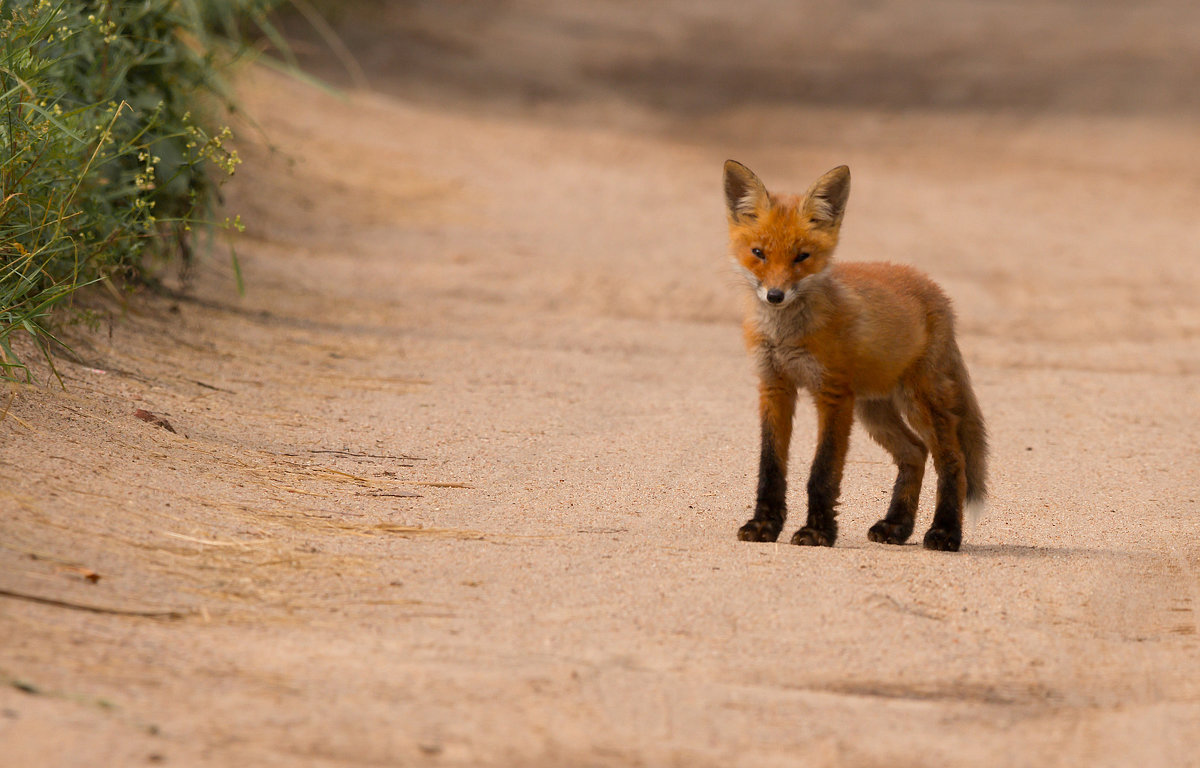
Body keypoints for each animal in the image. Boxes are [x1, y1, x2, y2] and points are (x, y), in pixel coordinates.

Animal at [720, 158, 984, 549]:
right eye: (758, 254)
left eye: (802, 256)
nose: (775, 295)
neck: (786, 336)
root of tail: (935, 291)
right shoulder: (774, 386)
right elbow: (770, 468)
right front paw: (764, 525)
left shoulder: (833, 395)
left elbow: (823, 471)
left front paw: (817, 532)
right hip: (874, 409)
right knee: (915, 453)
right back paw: (895, 526)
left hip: (918, 402)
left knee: (952, 460)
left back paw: (945, 532)